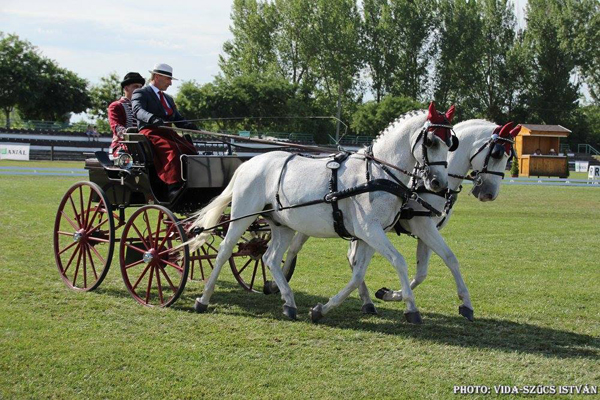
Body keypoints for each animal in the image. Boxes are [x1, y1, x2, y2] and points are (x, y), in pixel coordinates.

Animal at [188, 101, 454, 324]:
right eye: (431, 141)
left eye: (451, 143)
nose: (439, 183)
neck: (377, 173)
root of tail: (249, 163)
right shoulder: (370, 230)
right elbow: (399, 261)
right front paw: (412, 309)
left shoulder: (368, 234)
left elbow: (358, 274)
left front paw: (322, 309)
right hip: (243, 215)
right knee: (225, 251)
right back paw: (203, 299)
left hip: (282, 225)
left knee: (270, 258)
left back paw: (289, 303)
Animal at [278, 118, 516, 322]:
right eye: (497, 154)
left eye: (509, 157)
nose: (489, 194)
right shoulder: (422, 225)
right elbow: (431, 264)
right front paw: (403, 298)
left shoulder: (425, 229)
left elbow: (433, 266)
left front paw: (391, 294)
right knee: (294, 248)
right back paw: (280, 282)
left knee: (347, 259)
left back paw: (365, 301)